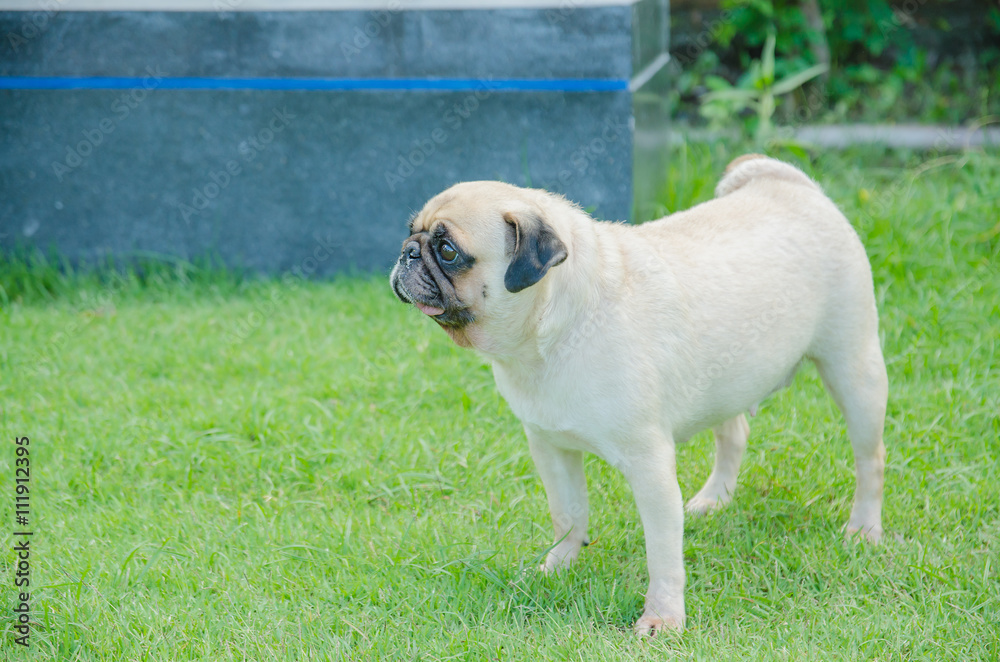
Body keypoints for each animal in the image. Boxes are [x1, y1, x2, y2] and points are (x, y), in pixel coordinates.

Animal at [386, 156, 888, 640]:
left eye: (448, 251)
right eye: (411, 232)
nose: (407, 252)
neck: (551, 333)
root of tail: (790, 184)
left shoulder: (650, 467)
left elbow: (662, 553)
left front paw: (664, 618)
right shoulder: (549, 447)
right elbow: (567, 514)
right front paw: (558, 566)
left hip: (855, 370)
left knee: (870, 458)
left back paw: (864, 529)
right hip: (724, 382)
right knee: (734, 434)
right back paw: (714, 499)